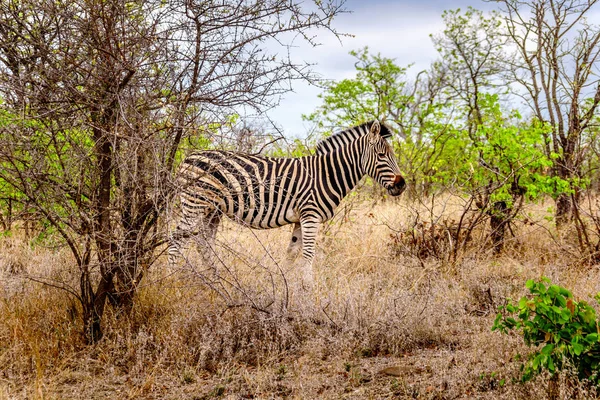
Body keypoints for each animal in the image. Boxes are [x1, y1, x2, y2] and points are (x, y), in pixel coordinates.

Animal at [166, 120, 406, 282]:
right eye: (382, 156)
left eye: (392, 155)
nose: (402, 185)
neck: (326, 173)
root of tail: (187, 157)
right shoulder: (311, 215)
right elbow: (308, 254)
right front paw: (307, 291)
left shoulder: (301, 219)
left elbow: (292, 253)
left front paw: (287, 285)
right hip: (194, 203)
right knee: (178, 240)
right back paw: (171, 280)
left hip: (212, 210)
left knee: (203, 243)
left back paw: (217, 280)